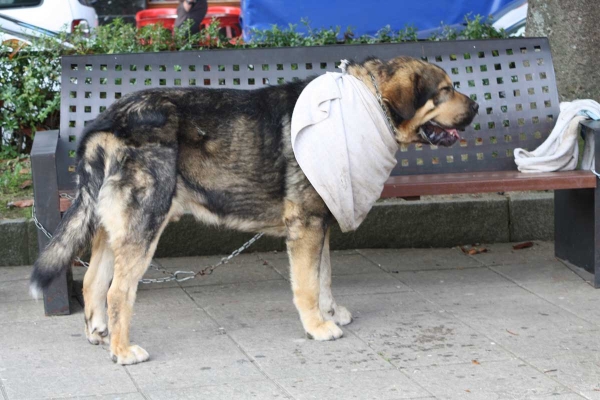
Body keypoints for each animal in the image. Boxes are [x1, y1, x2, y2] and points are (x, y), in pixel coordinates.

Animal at [29, 56, 478, 366]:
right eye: (445, 90)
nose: (475, 107)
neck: (364, 103)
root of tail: (106, 120)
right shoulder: (306, 226)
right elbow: (307, 285)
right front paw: (318, 327)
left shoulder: (321, 223)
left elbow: (325, 278)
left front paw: (330, 313)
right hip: (145, 225)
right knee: (118, 291)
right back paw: (123, 351)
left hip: (114, 228)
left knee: (94, 283)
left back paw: (100, 334)